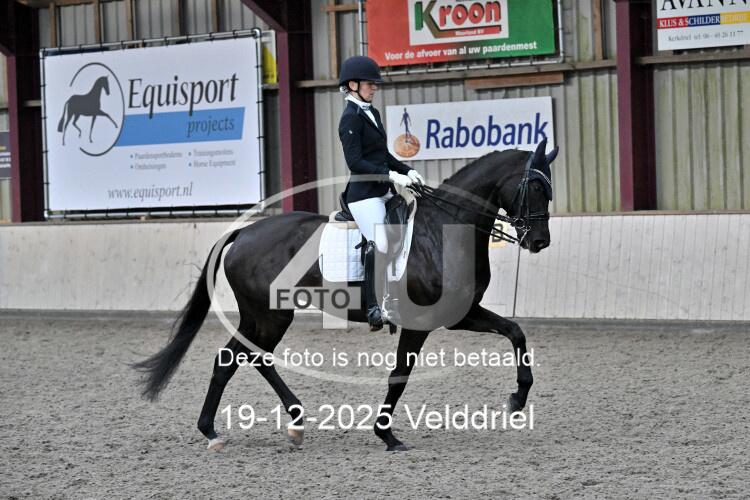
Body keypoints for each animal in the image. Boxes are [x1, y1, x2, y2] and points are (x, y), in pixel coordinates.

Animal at [135, 139, 558, 451]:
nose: (539, 241)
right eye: (535, 187)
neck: (443, 231)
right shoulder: (423, 322)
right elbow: (399, 376)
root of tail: (244, 233)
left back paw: (223, 430)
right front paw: (387, 435)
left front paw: (518, 397)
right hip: (270, 314)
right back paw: (275, 423)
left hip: (263, 315)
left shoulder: (462, 313)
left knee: (237, 358)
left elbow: (516, 331)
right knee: (251, 357)